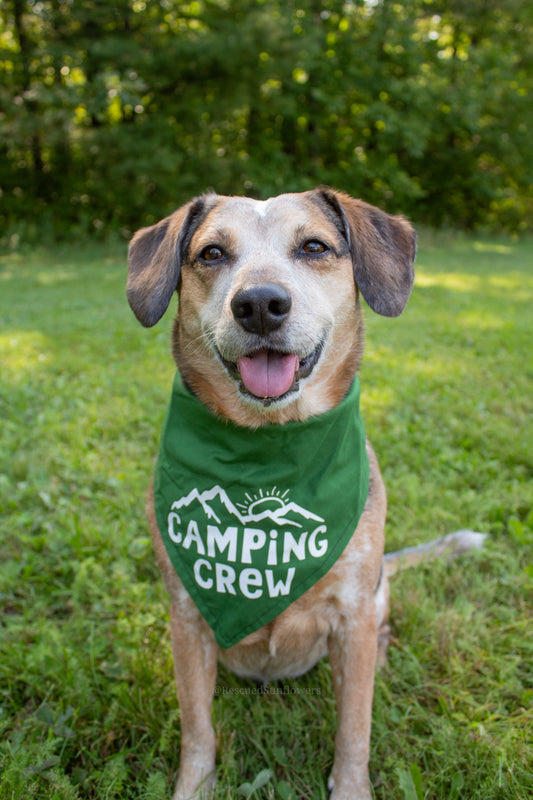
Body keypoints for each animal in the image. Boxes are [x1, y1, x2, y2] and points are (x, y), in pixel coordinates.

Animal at [124, 184, 416, 796]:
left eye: (314, 247)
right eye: (212, 254)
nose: (259, 304)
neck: (269, 446)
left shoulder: (353, 616)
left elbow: (355, 728)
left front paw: (351, 786)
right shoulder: (186, 619)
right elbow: (198, 728)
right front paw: (194, 786)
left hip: (376, 598)